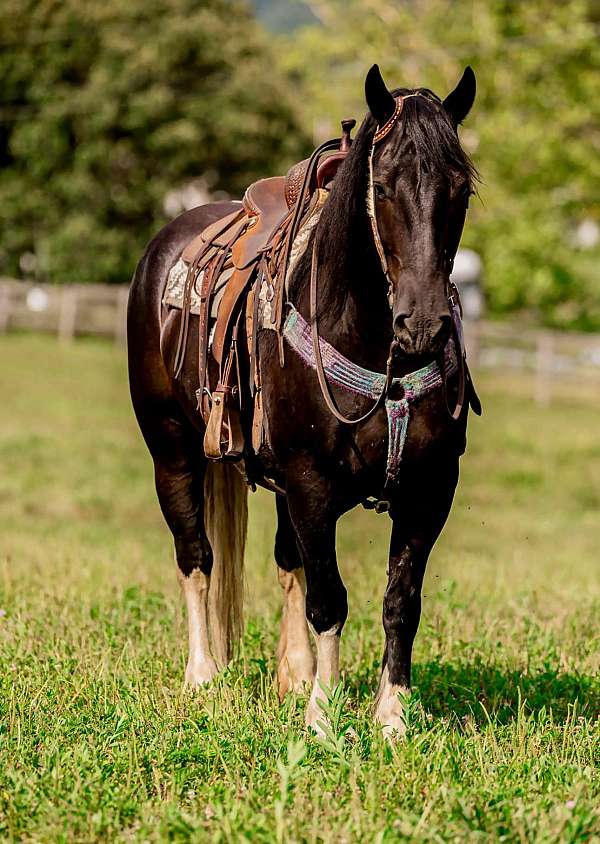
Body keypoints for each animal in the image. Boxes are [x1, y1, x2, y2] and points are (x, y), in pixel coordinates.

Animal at [129, 66, 480, 740]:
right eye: (383, 184)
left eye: (461, 189)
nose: (424, 325)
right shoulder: (313, 484)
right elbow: (329, 599)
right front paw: (323, 714)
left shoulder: (429, 489)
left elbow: (400, 602)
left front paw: (390, 717)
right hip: (172, 451)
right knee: (196, 556)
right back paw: (203, 677)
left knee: (286, 561)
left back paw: (291, 676)